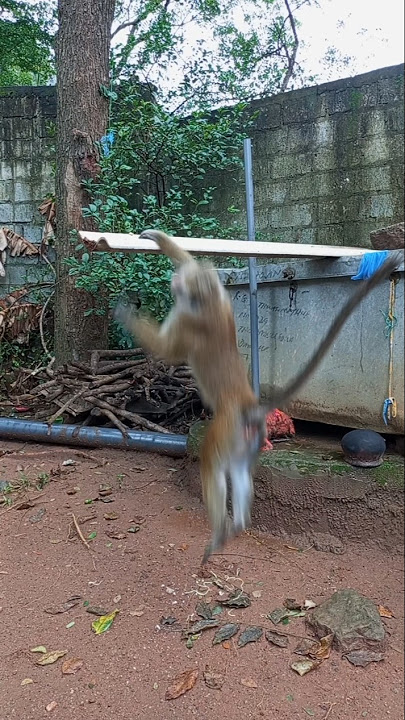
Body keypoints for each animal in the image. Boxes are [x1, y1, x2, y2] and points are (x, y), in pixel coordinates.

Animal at [115, 230, 402, 564]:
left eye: (184, 285)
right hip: (248, 438)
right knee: (238, 470)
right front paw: (159, 240)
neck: (206, 302)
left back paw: (219, 532)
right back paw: (239, 523)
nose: (174, 282)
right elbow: (189, 260)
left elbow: (168, 352)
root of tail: (247, 406)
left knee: (212, 462)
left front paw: (127, 312)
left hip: (227, 429)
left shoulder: (190, 319)